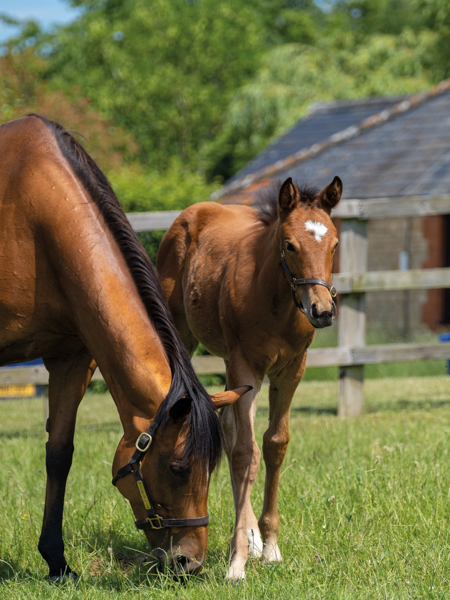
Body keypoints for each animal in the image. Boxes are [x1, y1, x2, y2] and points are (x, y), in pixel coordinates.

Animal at [0, 116, 248, 580]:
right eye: (177, 468)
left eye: (212, 470)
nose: (190, 562)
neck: (30, 213)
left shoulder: (72, 359)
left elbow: (59, 455)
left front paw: (57, 562)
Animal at [156, 176, 342, 580]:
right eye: (290, 245)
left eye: (335, 243)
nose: (322, 311)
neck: (276, 301)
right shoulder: (247, 366)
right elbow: (245, 453)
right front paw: (237, 562)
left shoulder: (292, 368)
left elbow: (274, 444)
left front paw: (269, 545)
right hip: (190, 338)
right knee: (232, 434)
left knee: (228, 425)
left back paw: (254, 537)